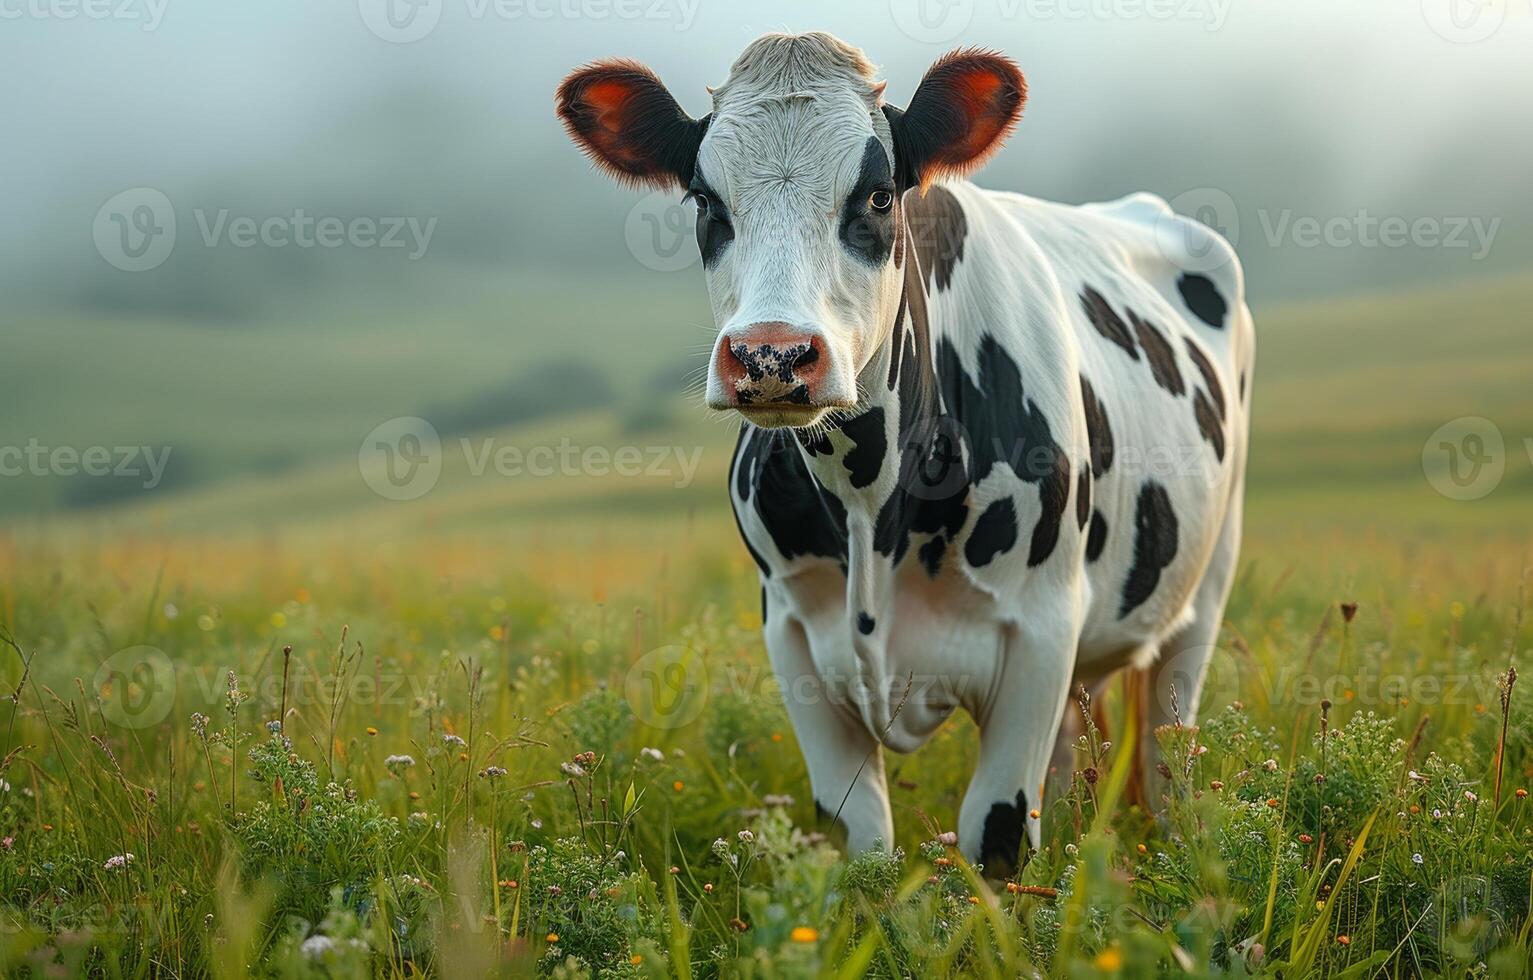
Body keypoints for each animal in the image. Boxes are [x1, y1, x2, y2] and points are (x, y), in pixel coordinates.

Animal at [558, 32, 1250, 871]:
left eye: (880, 196)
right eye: (703, 201)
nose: (770, 356)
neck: (868, 498)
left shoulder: (1042, 627)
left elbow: (998, 834)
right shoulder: (794, 635)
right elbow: (861, 841)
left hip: (1203, 587)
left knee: (1168, 747)